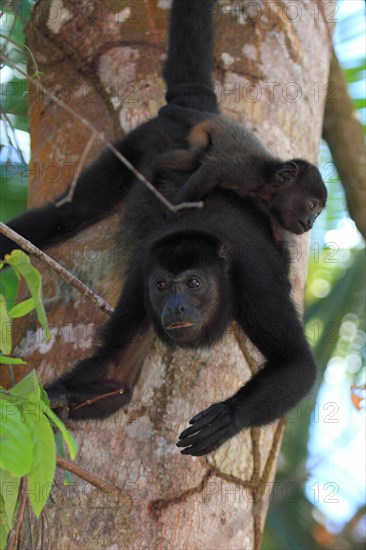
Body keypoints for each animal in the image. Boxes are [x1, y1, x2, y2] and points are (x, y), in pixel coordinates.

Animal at [0, 0, 318, 458]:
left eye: (194, 283)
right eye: (163, 286)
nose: (176, 309)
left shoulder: (253, 280)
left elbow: (297, 363)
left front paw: (230, 416)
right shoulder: (139, 283)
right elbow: (114, 375)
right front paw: (49, 398)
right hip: (141, 141)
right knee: (72, 210)